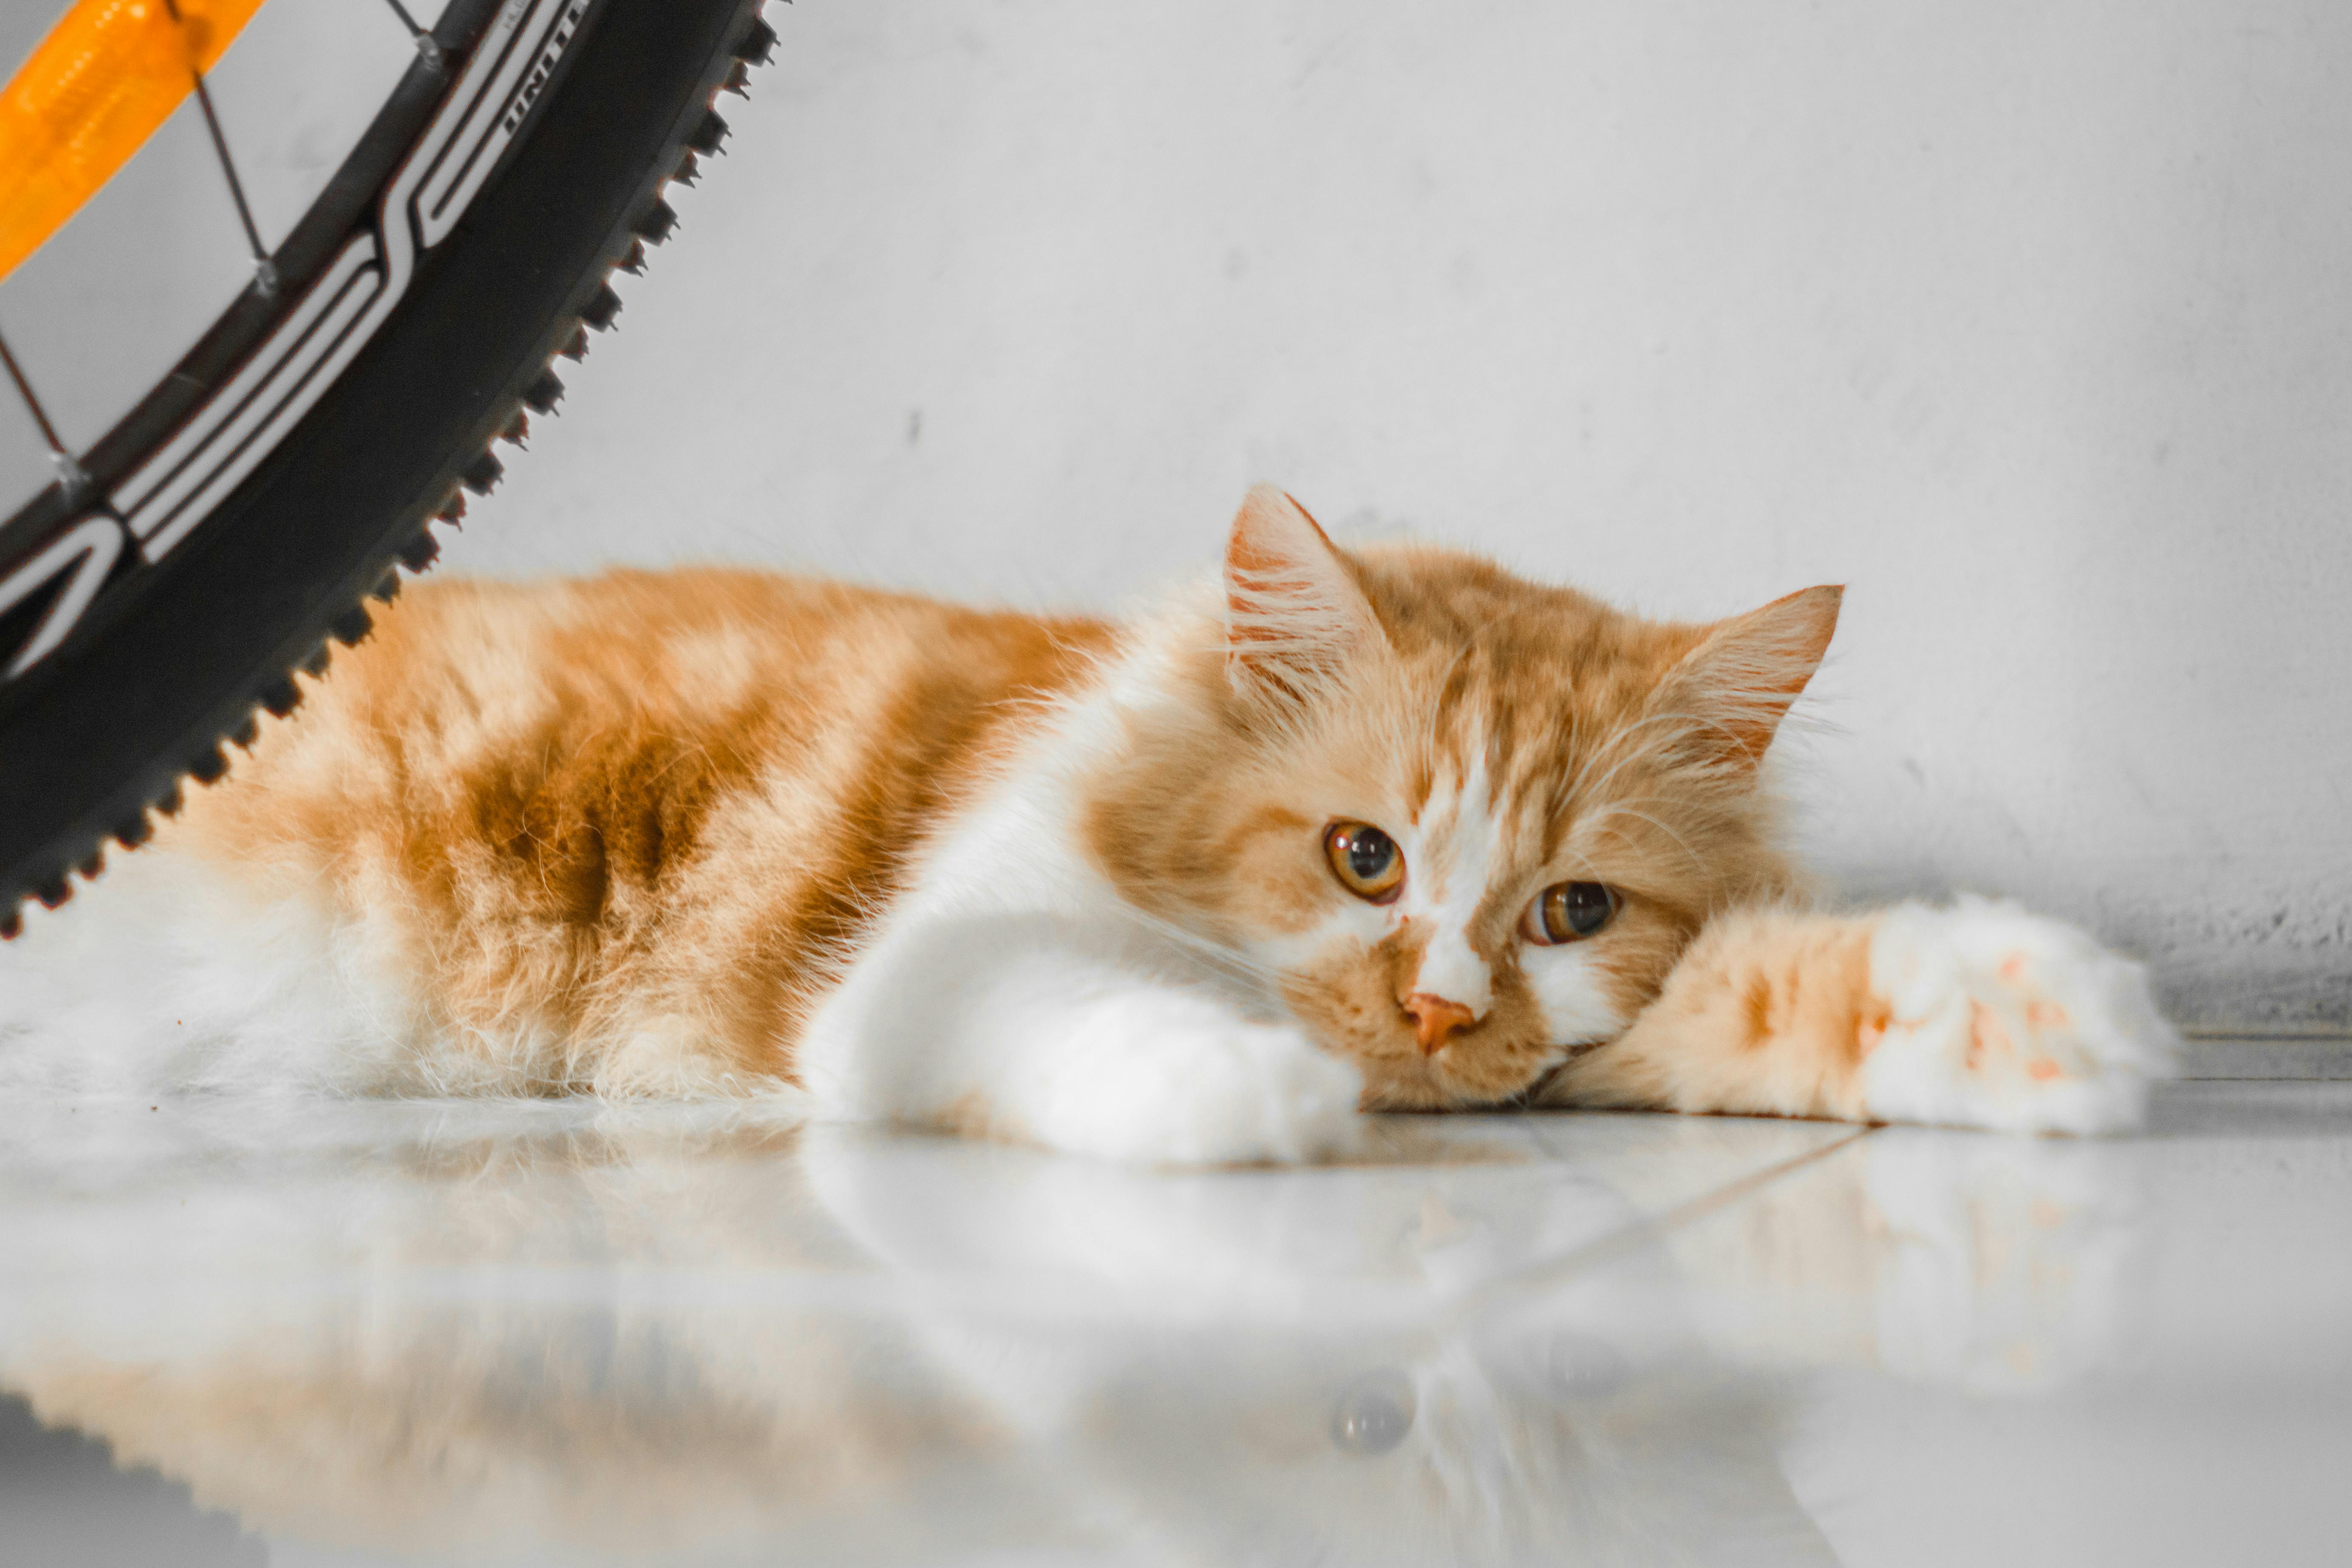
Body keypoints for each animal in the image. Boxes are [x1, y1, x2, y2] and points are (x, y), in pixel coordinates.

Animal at [0, 484, 2173, 1161]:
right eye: (1362, 857)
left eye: (1567, 907)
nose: (1439, 1012)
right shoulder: (926, 964)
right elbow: (1099, 1011)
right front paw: (1253, 1096)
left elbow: (1803, 980)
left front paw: (2042, 1018)